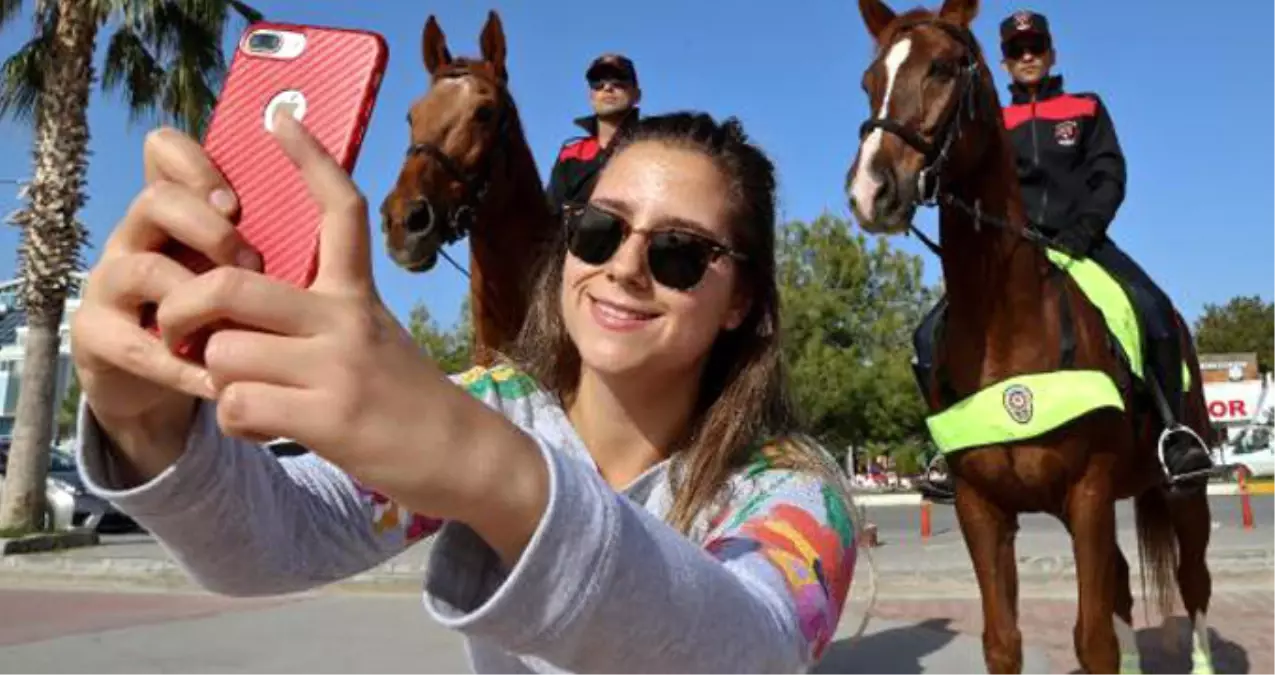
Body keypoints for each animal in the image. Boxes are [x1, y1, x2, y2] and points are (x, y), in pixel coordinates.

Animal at [846, 1, 1213, 673]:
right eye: (869, 80)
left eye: (943, 68)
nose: (870, 190)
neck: (1007, 330)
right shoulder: (982, 509)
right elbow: (1003, 641)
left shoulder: (1088, 495)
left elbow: (1094, 641)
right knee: (1125, 588)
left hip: (1184, 493)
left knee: (1193, 582)